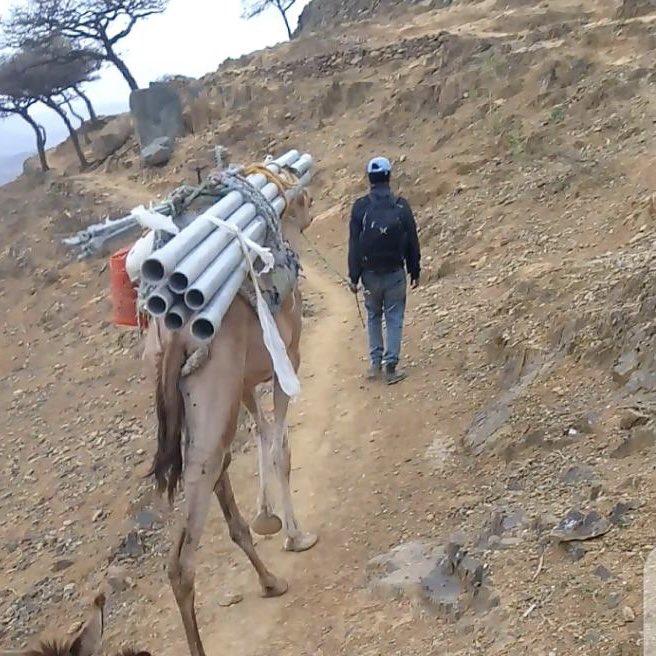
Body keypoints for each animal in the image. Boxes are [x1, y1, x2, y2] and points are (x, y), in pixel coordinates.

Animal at [142, 176, 320, 656]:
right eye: (302, 199)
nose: (310, 204)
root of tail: (175, 332)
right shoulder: (288, 360)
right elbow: (281, 448)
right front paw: (296, 535)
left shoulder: (243, 384)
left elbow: (261, 433)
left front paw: (268, 517)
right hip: (213, 390)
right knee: (181, 560)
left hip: (201, 404)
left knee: (213, 471)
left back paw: (271, 581)